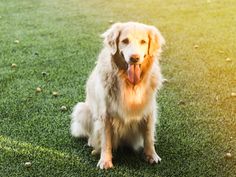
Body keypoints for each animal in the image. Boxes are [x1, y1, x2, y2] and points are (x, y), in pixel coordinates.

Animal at [71, 21, 165, 169]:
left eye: (143, 41)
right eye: (125, 41)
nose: (134, 58)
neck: (130, 84)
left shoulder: (149, 110)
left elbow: (149, 136)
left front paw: (151, 155)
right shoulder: (105, 114)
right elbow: (106, 141)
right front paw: (105, 161)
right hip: (82, 109)